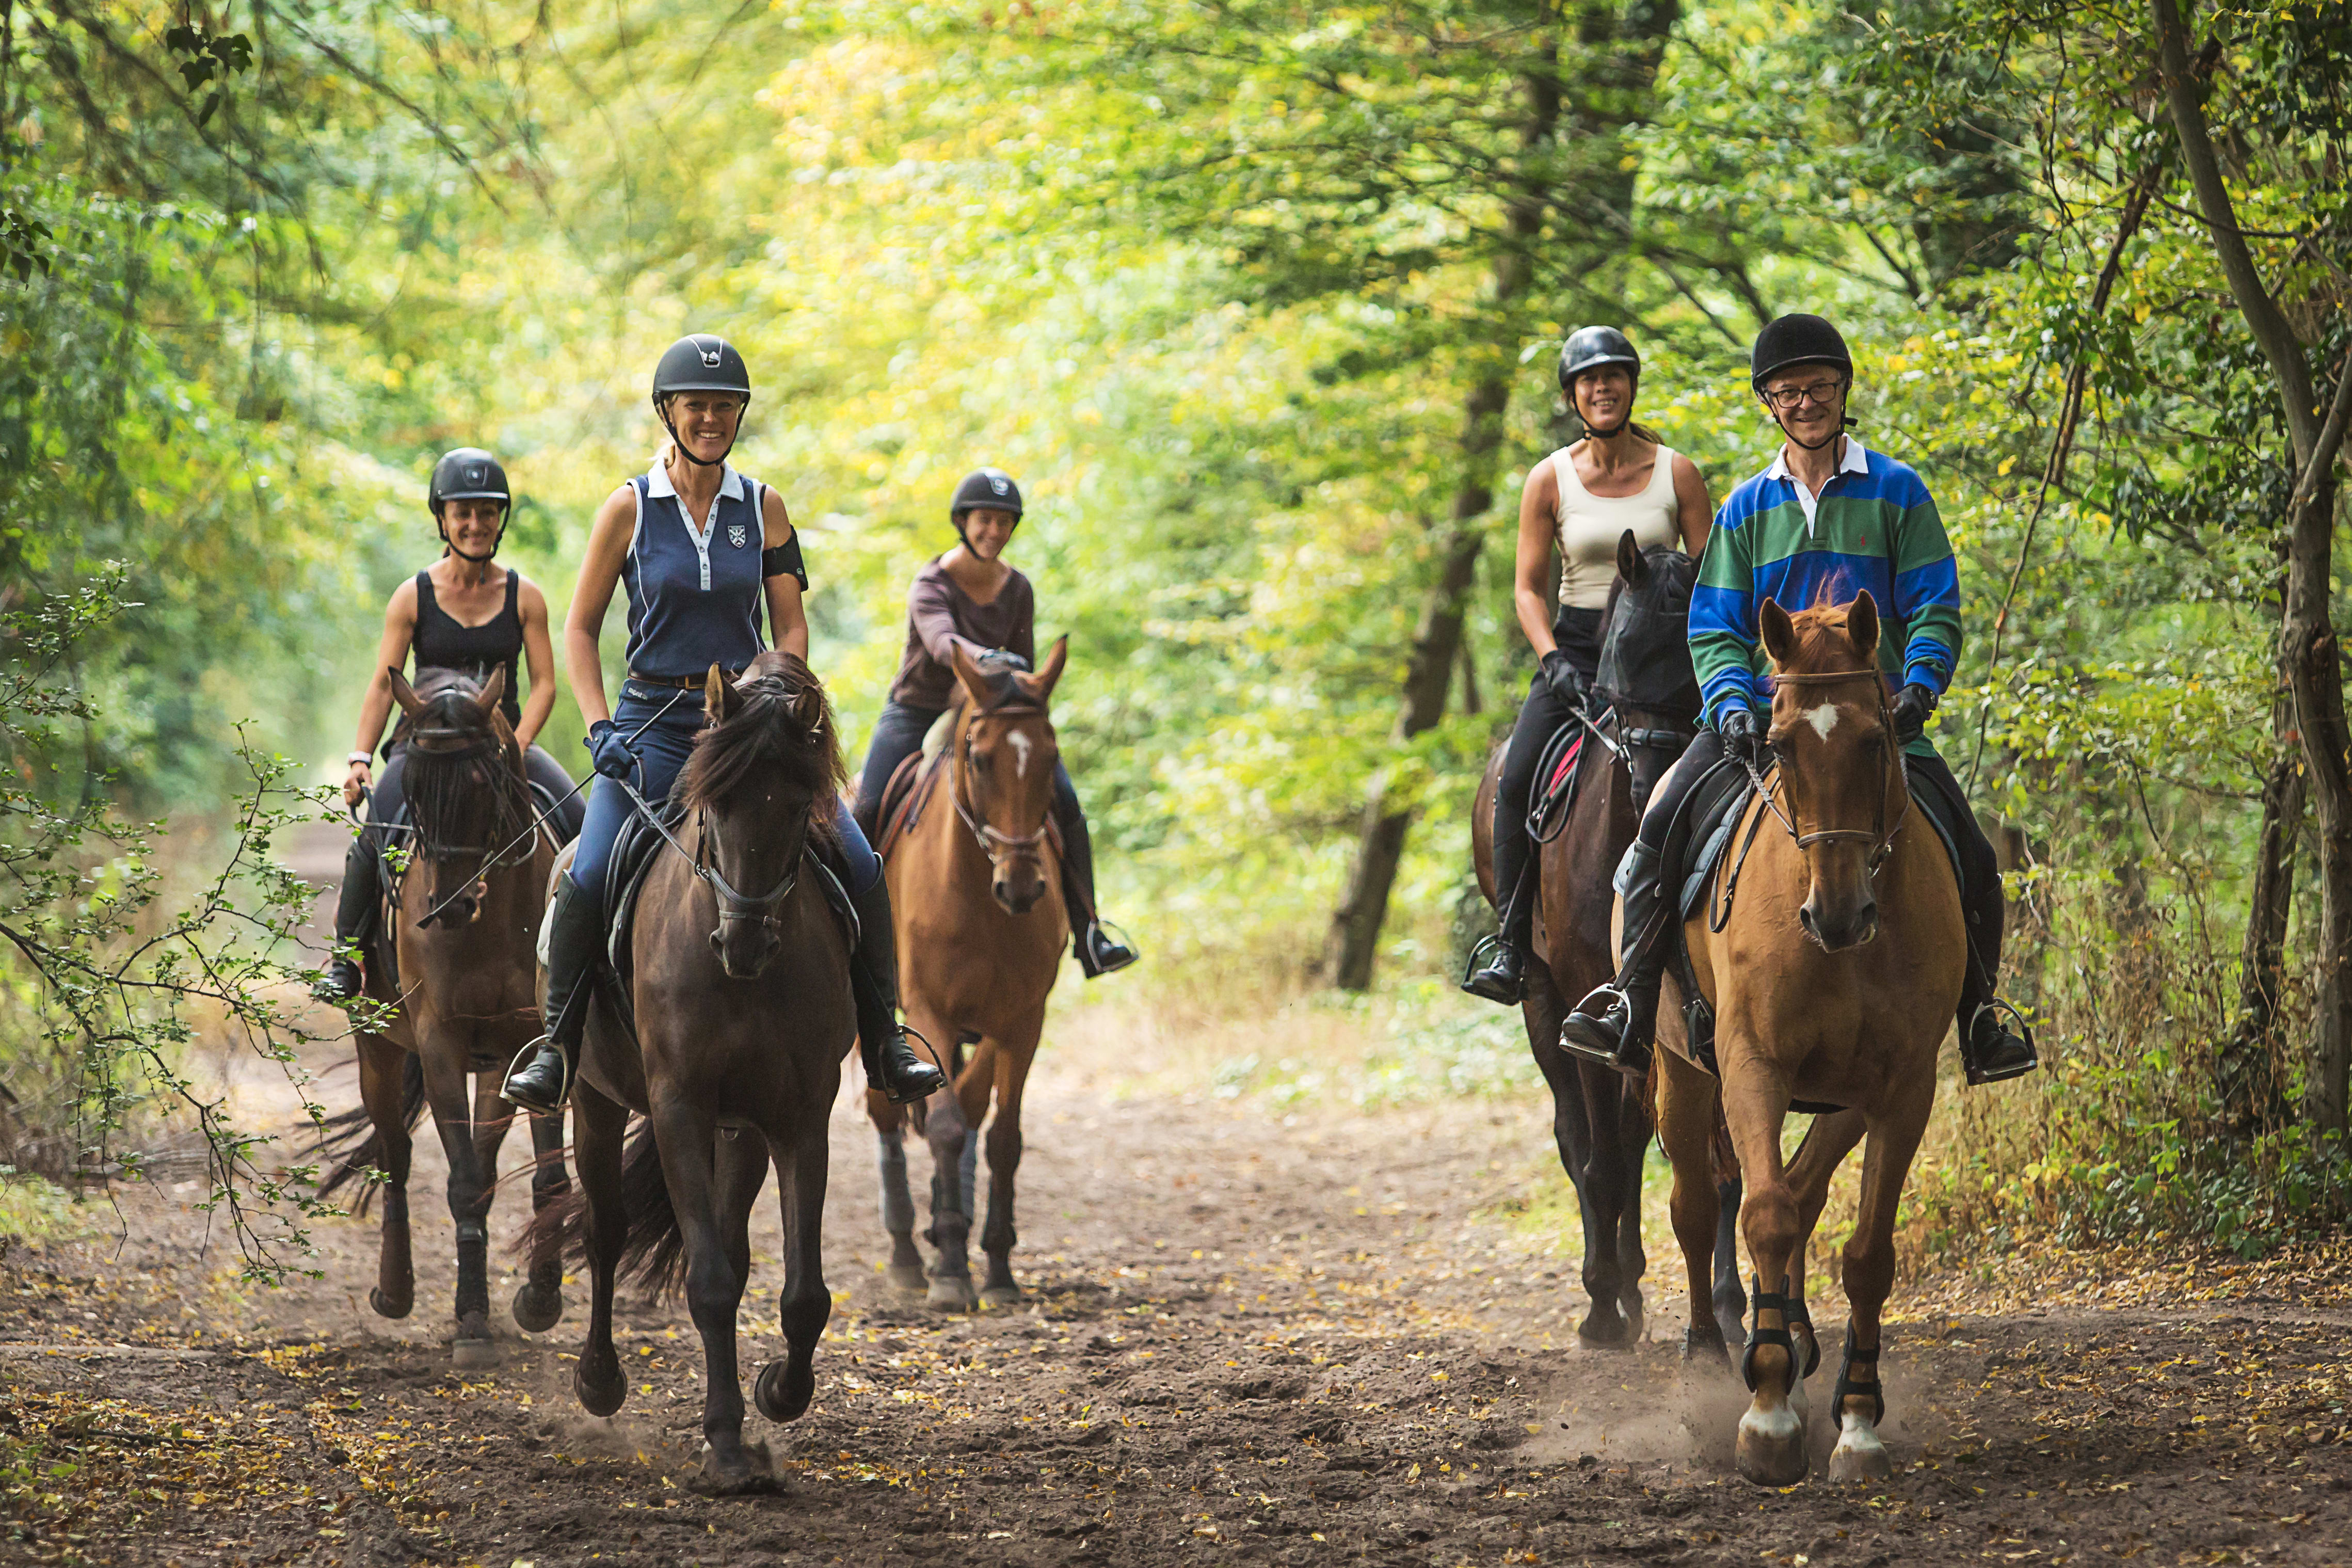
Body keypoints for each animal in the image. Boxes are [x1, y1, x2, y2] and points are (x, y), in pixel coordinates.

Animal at [317, 667, 569, 1363]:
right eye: (415, 789)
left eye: (486, 782)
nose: (448, 906)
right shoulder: (439, 1045)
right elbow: (457, 1180)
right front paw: (474, 1319)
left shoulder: (532, 1044)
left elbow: (542, 1176)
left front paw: (538, 1299)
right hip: (377, 1049)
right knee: (397, 1157)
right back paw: (394, 1289)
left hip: (493, 1066)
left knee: (481, 1163)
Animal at [538, 649, 860, 1495]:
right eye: (715, 808)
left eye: (799, 811)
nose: (743, 942)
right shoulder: (678, 1104)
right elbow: (709, 1282)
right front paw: (726, 1447)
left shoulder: (800, 1117)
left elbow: (802, 1291)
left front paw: (779, 1393)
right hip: (595, 1099)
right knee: (606, 1230)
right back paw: (599, 1380)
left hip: (740, 1130)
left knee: (735, 1243)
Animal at [875, 639, 1077, 1316]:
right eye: (981, 759)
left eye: (1051, 757)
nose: (1022, 887)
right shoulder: (928, 1010)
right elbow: (941, 1126)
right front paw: (949, 1273)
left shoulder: (1021, 1021)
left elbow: (999, 1134)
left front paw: (994, 1264)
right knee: (885, 1114)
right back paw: (909, 1256)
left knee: (967, 1104)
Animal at [1467, 536, 1750, 1354]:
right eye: (1620, 648)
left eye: (1695, 651)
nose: (1656, 773)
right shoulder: (1581, 998)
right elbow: (1602, 1157)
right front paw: (1601, 1306)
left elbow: (1715, 1159)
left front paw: (1728, 1305)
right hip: (1539, 997)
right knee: (1582, 1138)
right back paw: (1612, 1291)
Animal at [1656, 595, 1966, 1495]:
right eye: (1781, 741)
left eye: (1874, 738)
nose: (1835, 914)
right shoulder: (1751, 1067)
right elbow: (1761, 1213)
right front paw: (1765, 1417)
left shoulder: (1901, 1087)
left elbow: (1864, 1253)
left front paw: (1855, 1421)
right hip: (1680, 1074)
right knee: (1700, 1208)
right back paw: (1710, 1366)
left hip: (1844, 1098)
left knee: (1804, 1187)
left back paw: (1792, 1346)